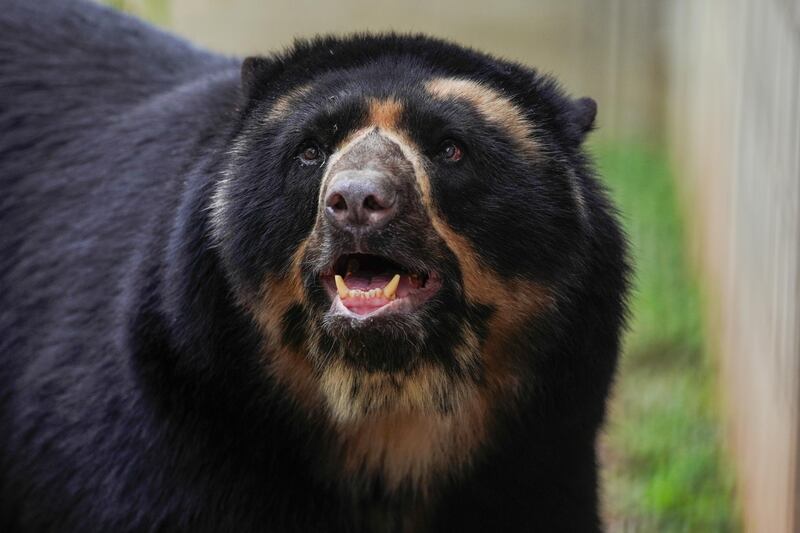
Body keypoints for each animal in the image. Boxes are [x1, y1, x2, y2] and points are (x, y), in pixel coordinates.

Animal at [0, 2, 628, 528]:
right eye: (310, 150)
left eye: (451, 149)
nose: (356, 200)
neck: (387, 415)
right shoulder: (176, 417)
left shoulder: (539, 453)